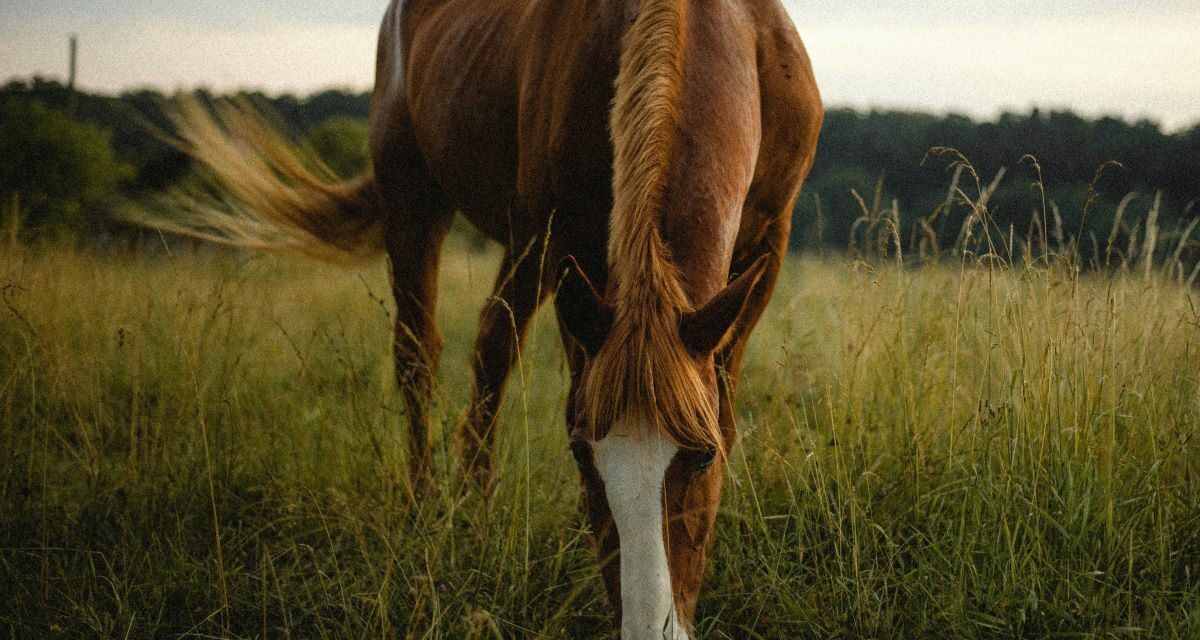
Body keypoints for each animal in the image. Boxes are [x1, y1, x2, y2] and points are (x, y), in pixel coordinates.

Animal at [163, 0, 821, 636]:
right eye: (581, 456)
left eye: (703, 457)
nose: (650, 630)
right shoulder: (564, 246)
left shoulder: (768, 243)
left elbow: (723, 400)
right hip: (424, 206)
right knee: (427, 353)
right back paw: (437, 507)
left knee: (485, 351)